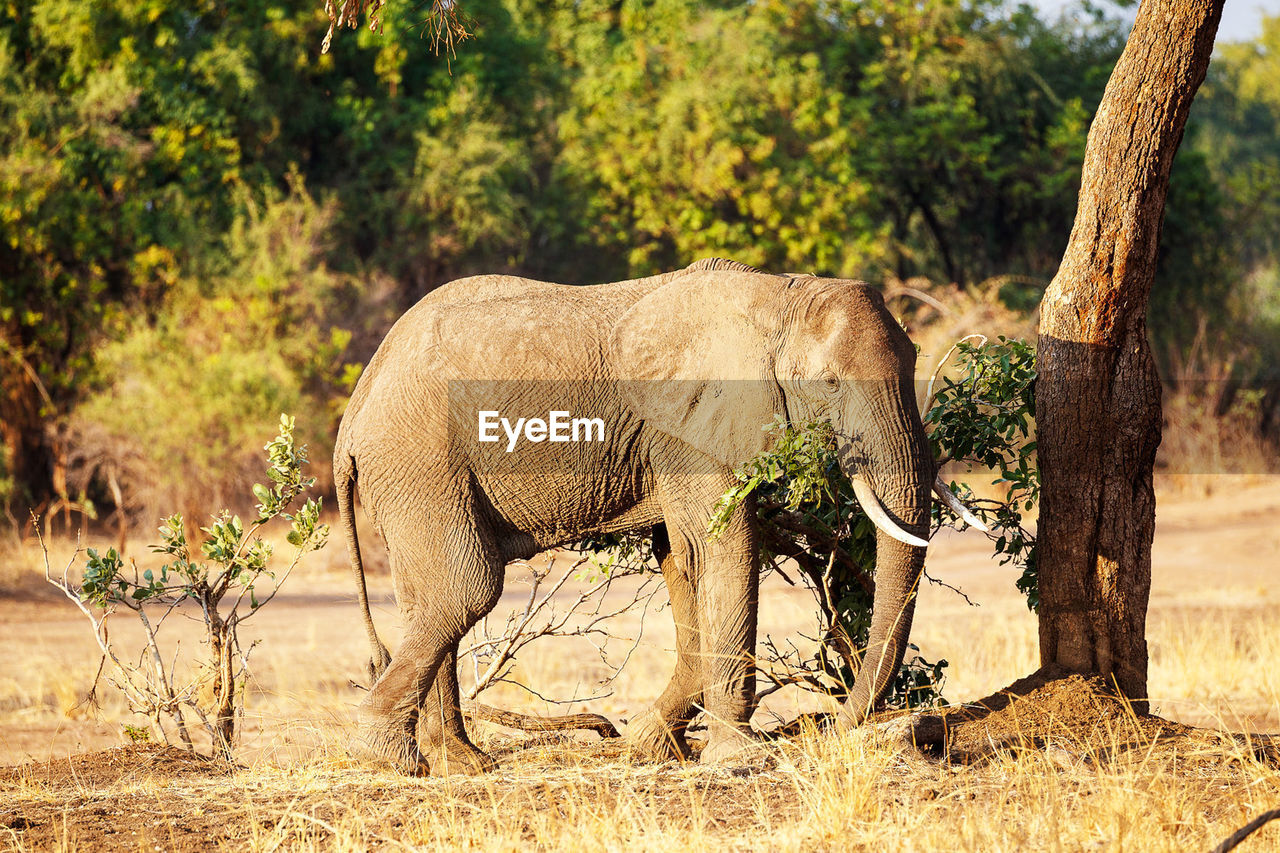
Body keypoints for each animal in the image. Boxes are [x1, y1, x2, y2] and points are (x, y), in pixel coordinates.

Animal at [332, 253, 977, 768]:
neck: (777, 295)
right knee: (465, 587)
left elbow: (682, 557)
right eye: (830, 383)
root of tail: (357, 403)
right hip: (420, 457)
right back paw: (385, 756)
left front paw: (650, 743)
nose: (838, 728)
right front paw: (734, 759)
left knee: (426, 595)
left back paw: (459, 762)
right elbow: (727, 547)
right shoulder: (692, 425)